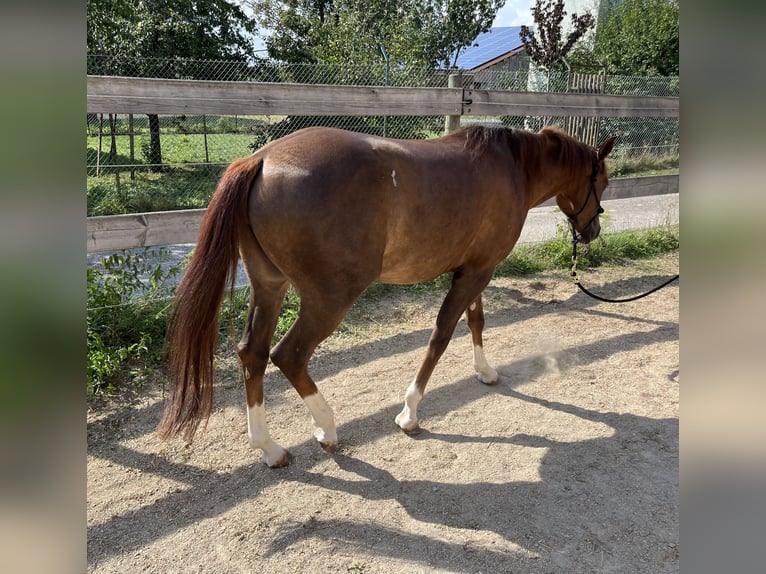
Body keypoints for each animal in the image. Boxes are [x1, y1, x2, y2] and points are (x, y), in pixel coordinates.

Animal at [158, 126, 616, 468]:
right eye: (604, 180)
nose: (593, 231)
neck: (512, 167)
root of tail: (263, 160)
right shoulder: (476, 272)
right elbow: (441, 335)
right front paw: (409, 413)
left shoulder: (473, 268)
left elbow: (475, 320)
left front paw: (485, 371)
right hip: (329, 299)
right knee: (289, 355)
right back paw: (327, 428)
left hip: (269, 287)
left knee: (252, 353)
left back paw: (270, 449)